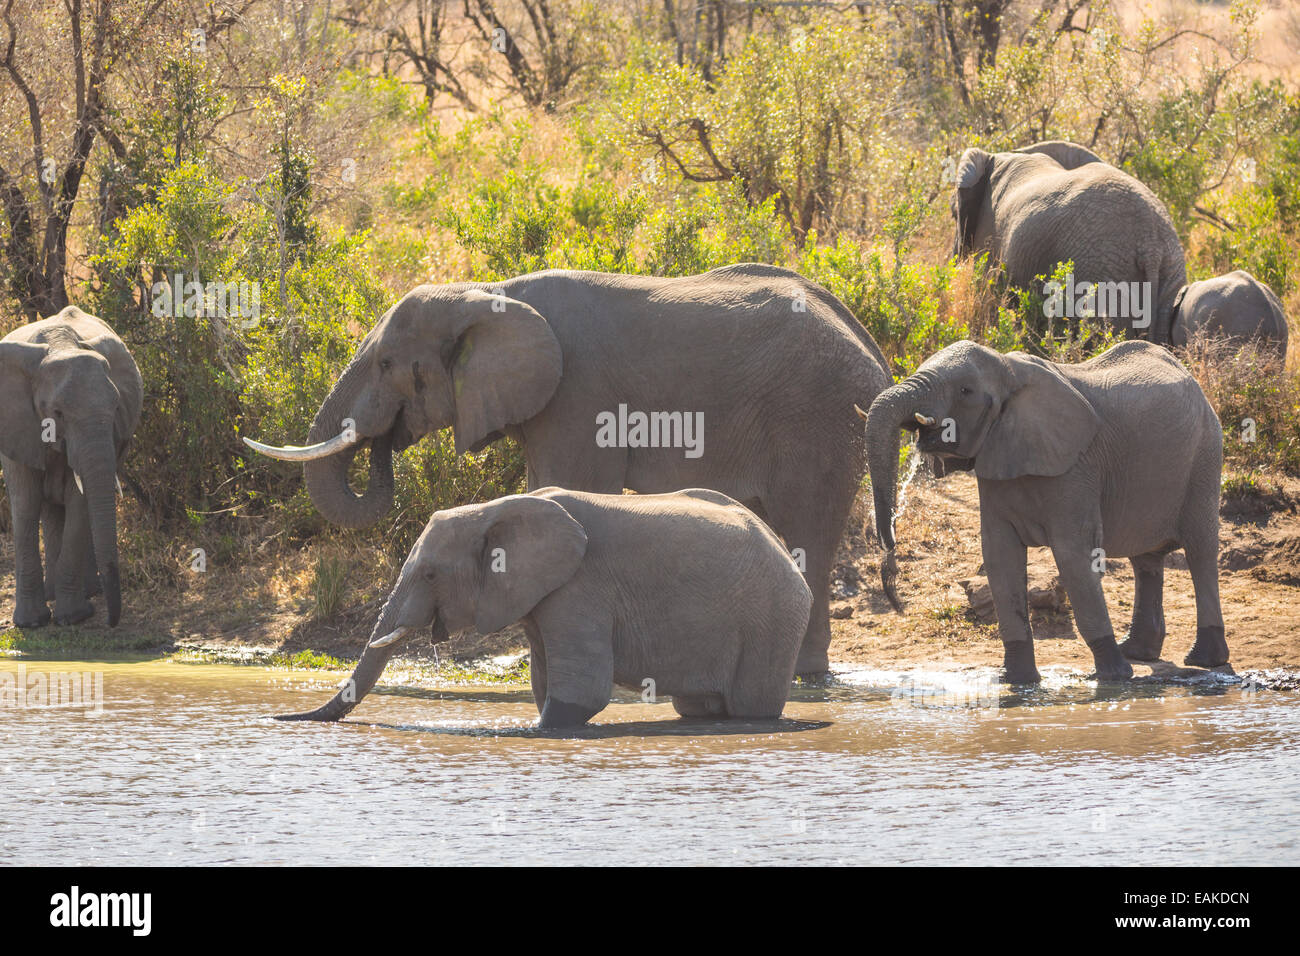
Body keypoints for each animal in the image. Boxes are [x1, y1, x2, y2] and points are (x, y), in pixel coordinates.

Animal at [0, 306, 143, 632]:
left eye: (116, 408)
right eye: (57, 413)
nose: (112, 623)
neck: (60, 345)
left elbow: (79, 501)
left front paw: (73, 617)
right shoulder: (18, 424)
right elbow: (25, 503)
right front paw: (31, 624)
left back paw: (87, 592)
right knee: (49, 509)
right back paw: (56, 595)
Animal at [244, 265, 894, 676]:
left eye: (386, 364)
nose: (387, 442)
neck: (489, 291)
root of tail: (873, 349)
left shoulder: (578, 395)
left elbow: (568, 484)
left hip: (817, 417)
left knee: (808, 534)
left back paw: (805, 677)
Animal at [276, 489, 811, 728]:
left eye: (430, 575)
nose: (280, 719)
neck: (494, 509)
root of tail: (786, 551)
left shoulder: (582, 588)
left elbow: (582, 690)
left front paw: (537, 731)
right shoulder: (540, 595)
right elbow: (542, 677)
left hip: (773, 618)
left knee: (751, 706)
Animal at [863, 340, 1227, 686]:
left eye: (965, 391)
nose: (896, 600)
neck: (1008, 370)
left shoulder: (1076, 466)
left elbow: (1072, 555)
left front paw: (1113, 678)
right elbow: (999, 557)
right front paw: (1017, 682)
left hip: (1205, 454)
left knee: (1200, 551)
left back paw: (1203, 659)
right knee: (1145, 560)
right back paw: (1137, 652)